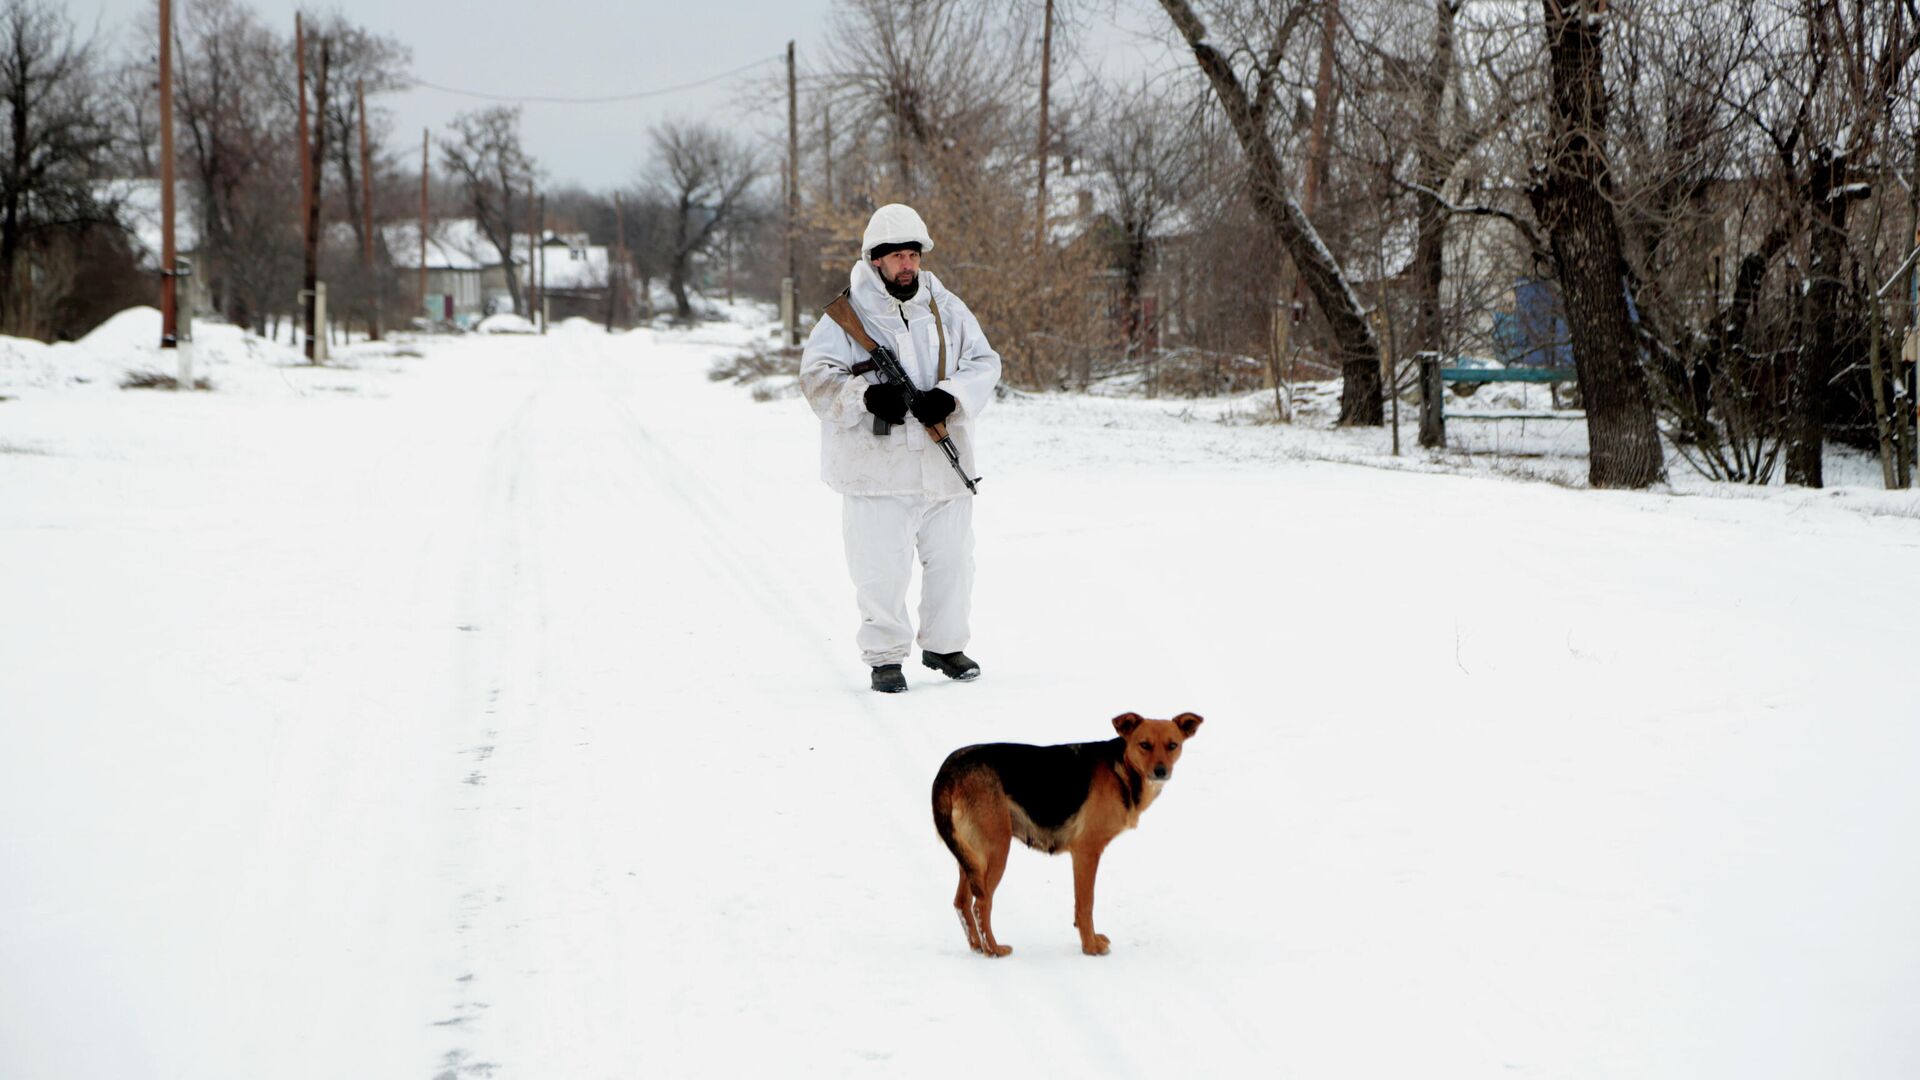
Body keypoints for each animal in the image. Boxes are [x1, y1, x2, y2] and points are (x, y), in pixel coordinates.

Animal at [929, 711, 1198, 953]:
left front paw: (1090, 939)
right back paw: (993, 949)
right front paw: (1090, 947)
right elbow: (1086, 904)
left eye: (1172, 746)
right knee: (980, 904)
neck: (1122, 768)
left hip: (971, 855)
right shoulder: (1086, 852)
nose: (1161, 772)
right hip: (996, 850)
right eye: (1144, 745)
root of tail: (948, 770)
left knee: (961, 902)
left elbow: (1080, 906)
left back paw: (977, 946)